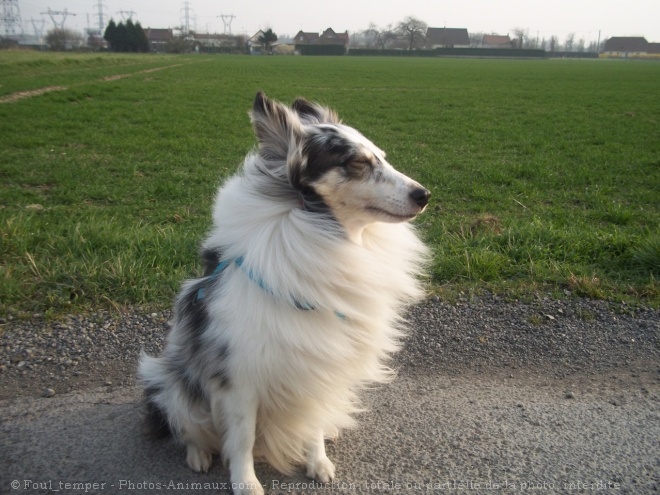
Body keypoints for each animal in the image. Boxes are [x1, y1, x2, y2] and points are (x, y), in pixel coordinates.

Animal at [137, 91, 430, 494]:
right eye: (357, 162)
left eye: (382, 157)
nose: (425, 194)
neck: (322, 229)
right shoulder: (239, 376)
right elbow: (242, 438)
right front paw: (246, 483)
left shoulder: (319, 362)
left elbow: (314, 420)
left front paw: (318, 461)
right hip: (169, 381)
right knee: (187, 426)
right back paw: (198, 455)